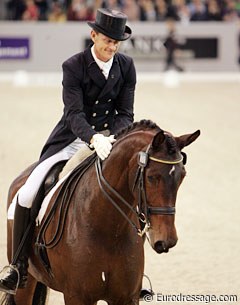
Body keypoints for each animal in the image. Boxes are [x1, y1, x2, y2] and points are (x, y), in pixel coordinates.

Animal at [0, 119, 200, 304]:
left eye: (182, 176)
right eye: (151, 177)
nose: (167, 241)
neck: (108, 227)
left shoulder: (126, 297)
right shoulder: (76, 296)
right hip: (26, 283)